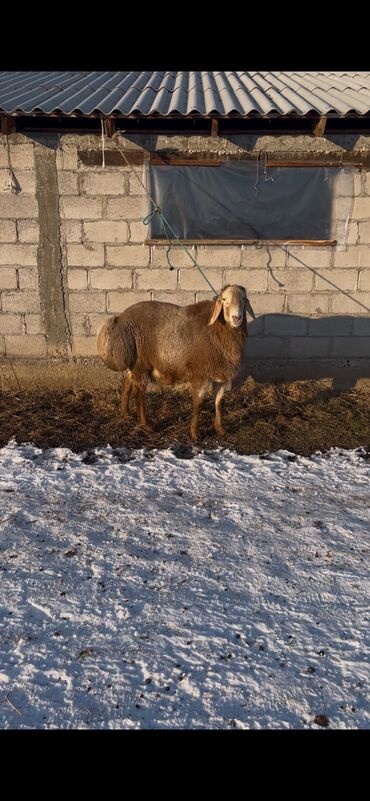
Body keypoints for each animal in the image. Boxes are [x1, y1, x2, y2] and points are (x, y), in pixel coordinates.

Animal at [97, 284, 256, 440]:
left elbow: (219, 402)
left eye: (244, 299)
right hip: (141, 363)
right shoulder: (200, 374)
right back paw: (145, 425)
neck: (217, 330)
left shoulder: (220, 376)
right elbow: (198, 404)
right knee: (139, 395)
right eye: (224, 299)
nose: (236, 317)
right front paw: (194, 434)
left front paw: (220, 430)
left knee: (127, 382)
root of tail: (122, 319)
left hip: (137, 364)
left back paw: (125, 414)